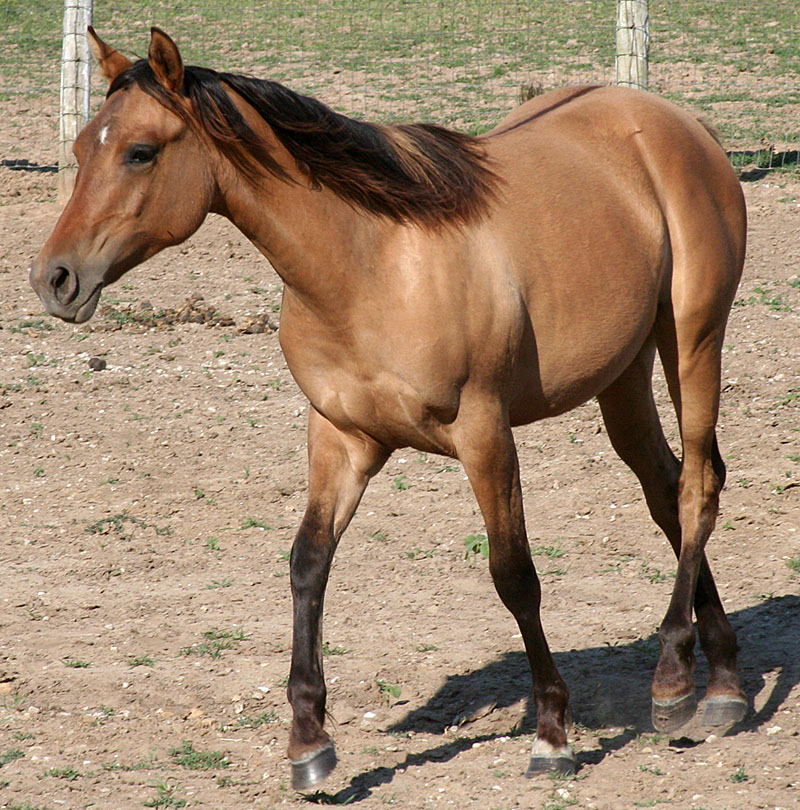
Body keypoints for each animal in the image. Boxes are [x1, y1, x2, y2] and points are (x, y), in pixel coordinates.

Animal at [26, 28, 752, 784]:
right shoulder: (341, 436)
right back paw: (722, 677)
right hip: (622, 376)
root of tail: (682, 125)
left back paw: (680, 682)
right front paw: (309, 742)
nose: (55, 278)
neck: (372, 264)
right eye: (79, 150)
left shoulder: (484, 434)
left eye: (140, 151)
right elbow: (308, 562)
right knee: (666, 493)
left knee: (699, 487)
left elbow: (514, 575)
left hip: (693, 338)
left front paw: (551, 732)